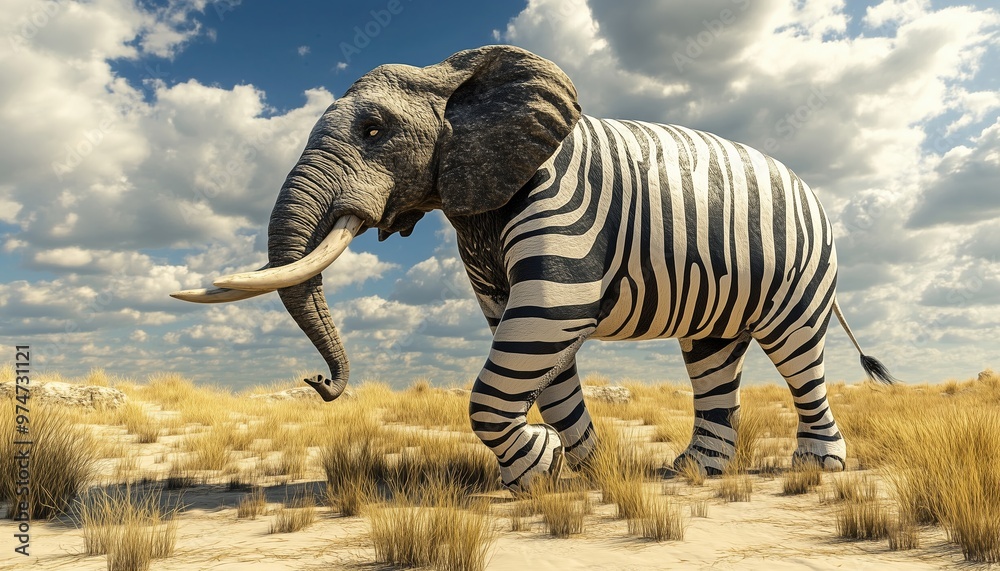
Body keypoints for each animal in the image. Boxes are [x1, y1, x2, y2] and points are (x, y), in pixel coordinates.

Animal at [451, 115, 893, 491]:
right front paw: (567, 469)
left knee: (800, 363)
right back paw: (696, 469)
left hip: (799, 289)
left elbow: (544, 328)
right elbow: (546, 363)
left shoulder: (563, 224)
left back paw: (816, 465)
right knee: (714, 368)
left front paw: (542, 469)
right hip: (719, 315)